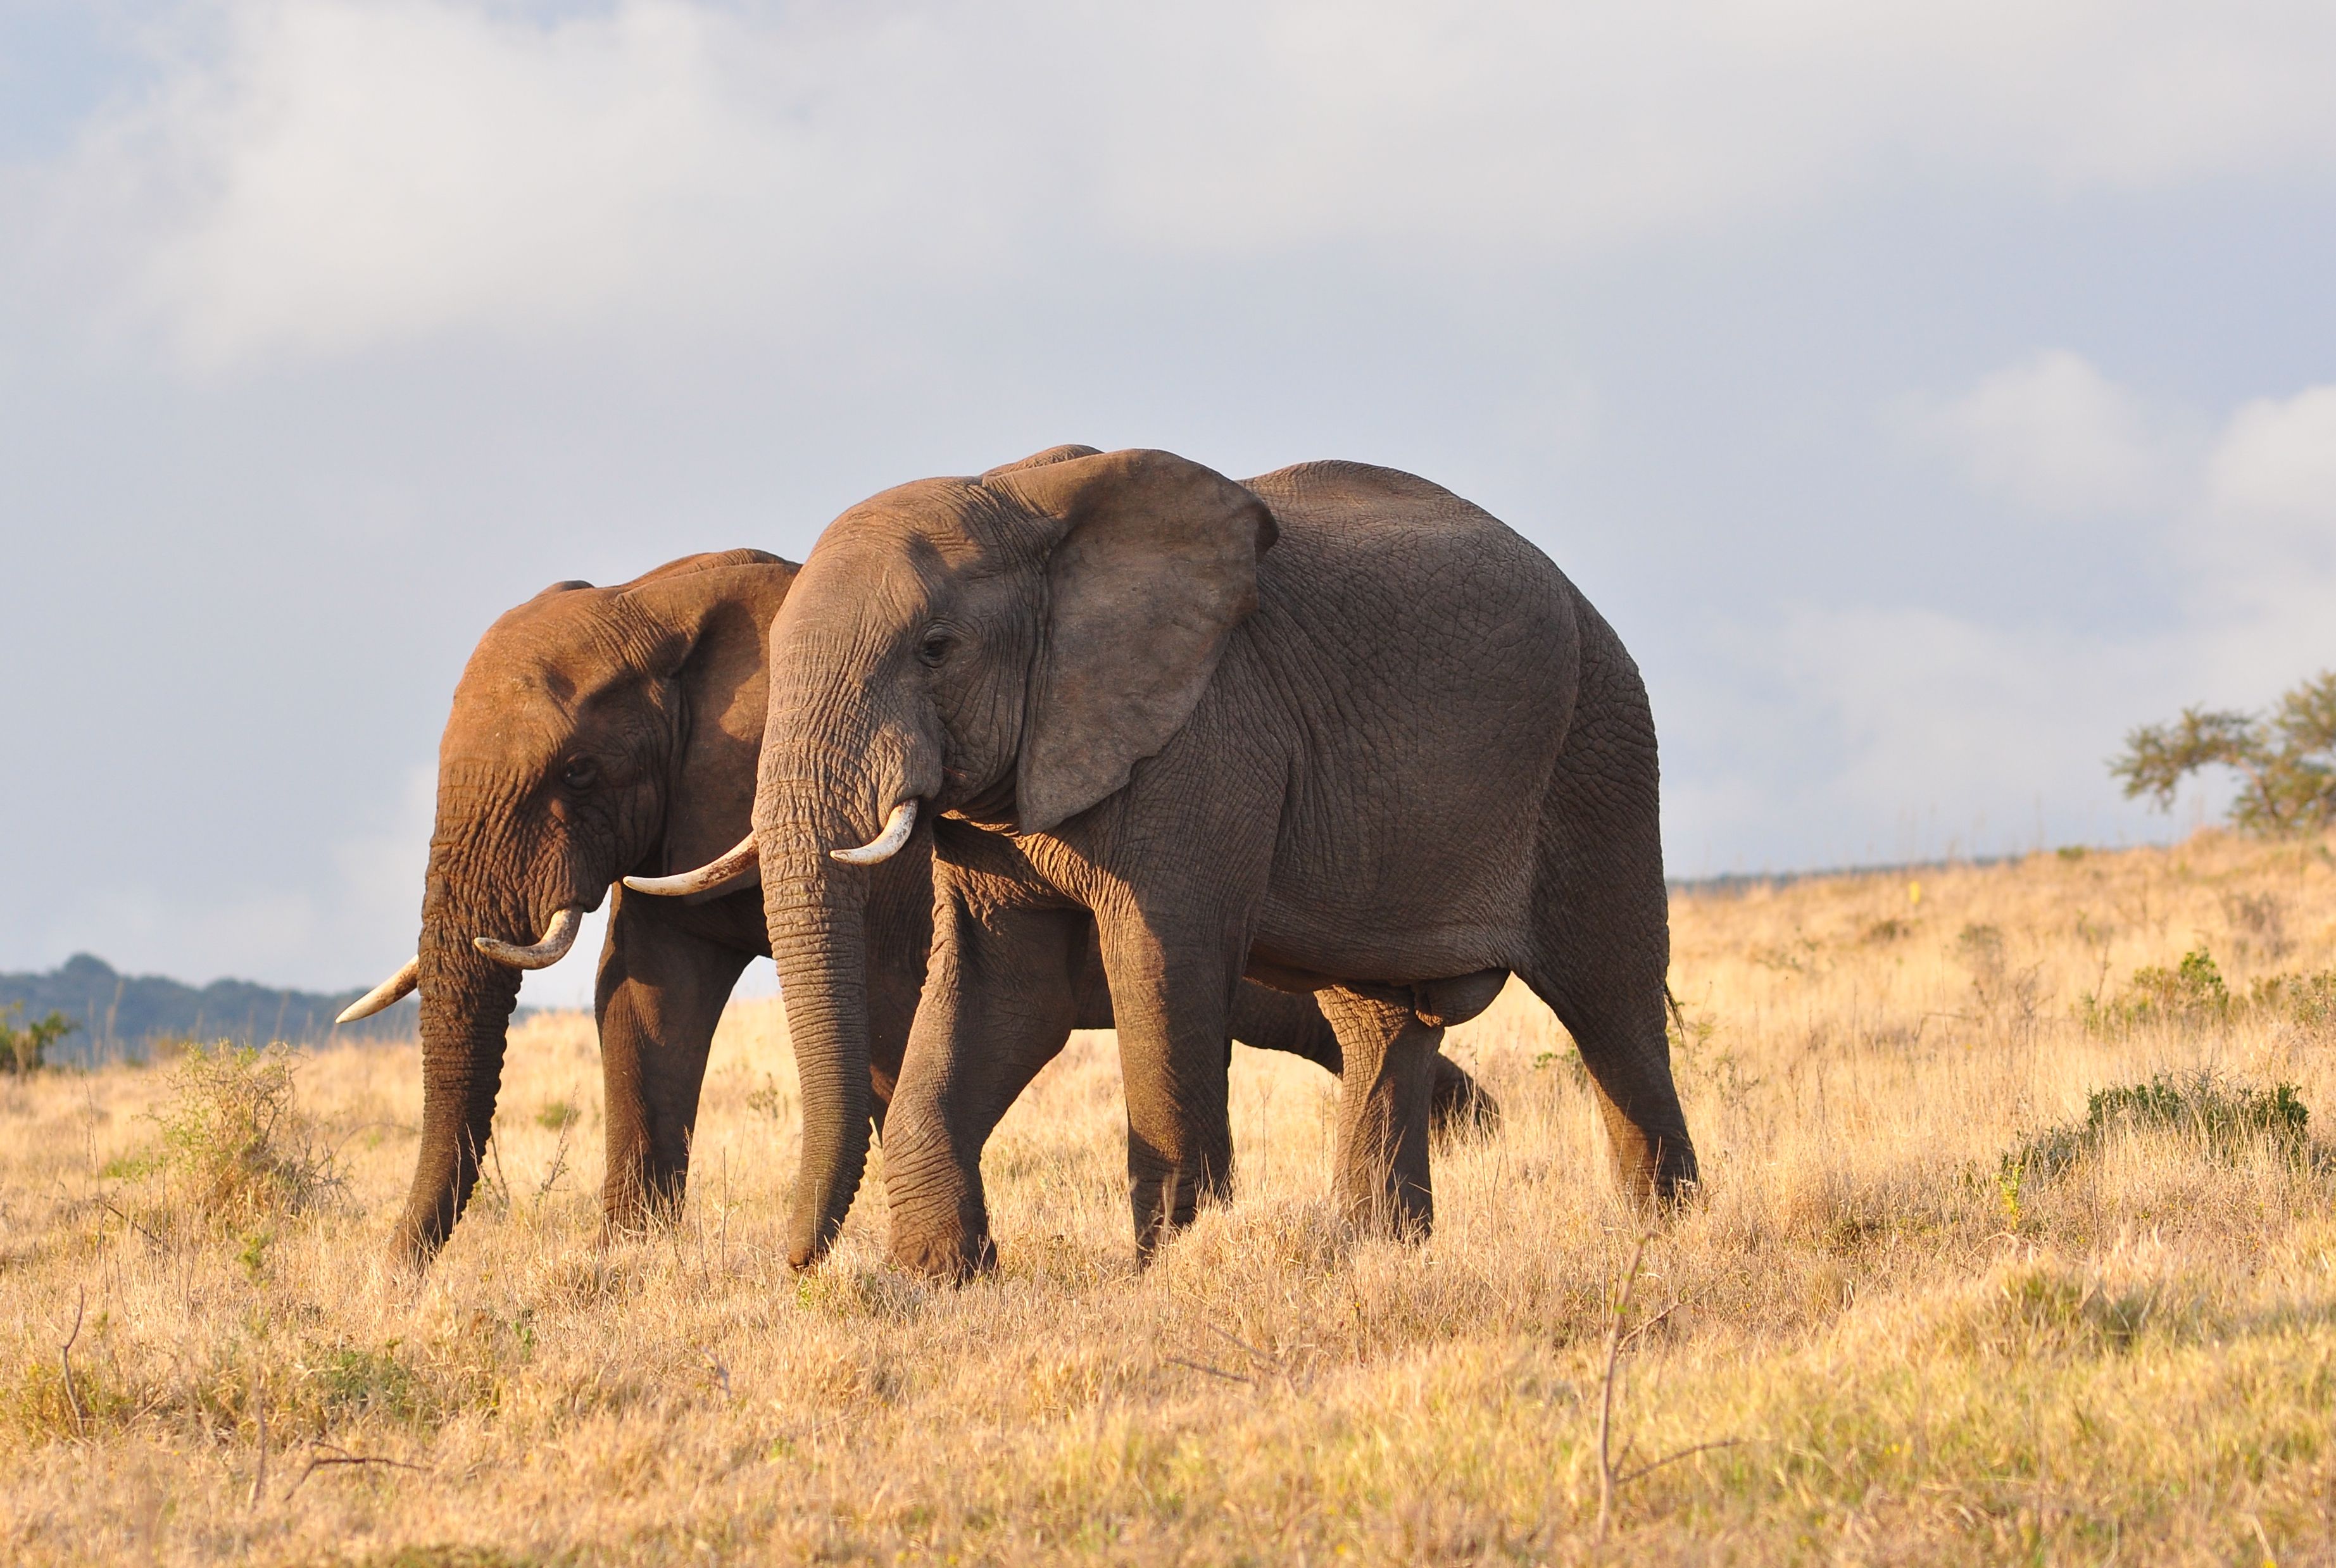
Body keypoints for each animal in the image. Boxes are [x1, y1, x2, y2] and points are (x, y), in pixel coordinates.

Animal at [339, 546, 1485, 1271]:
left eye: (574, 771)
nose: (390, 1274)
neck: (661, 598)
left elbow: (894, 1014)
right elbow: (645, 996)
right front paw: (630, 1264)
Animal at [640, 448, 1700, 1280]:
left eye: (935, 649)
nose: (795, 1263)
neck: (1023, 504)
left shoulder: (1204, 743)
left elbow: (1161, 971)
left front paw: (1167, 1271)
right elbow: (1000, 991)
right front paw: (938, 1279)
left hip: (1599, 746)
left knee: (1611, 1005)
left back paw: (1664, 1237)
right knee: (1380, 1025)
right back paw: (1378, 1254)